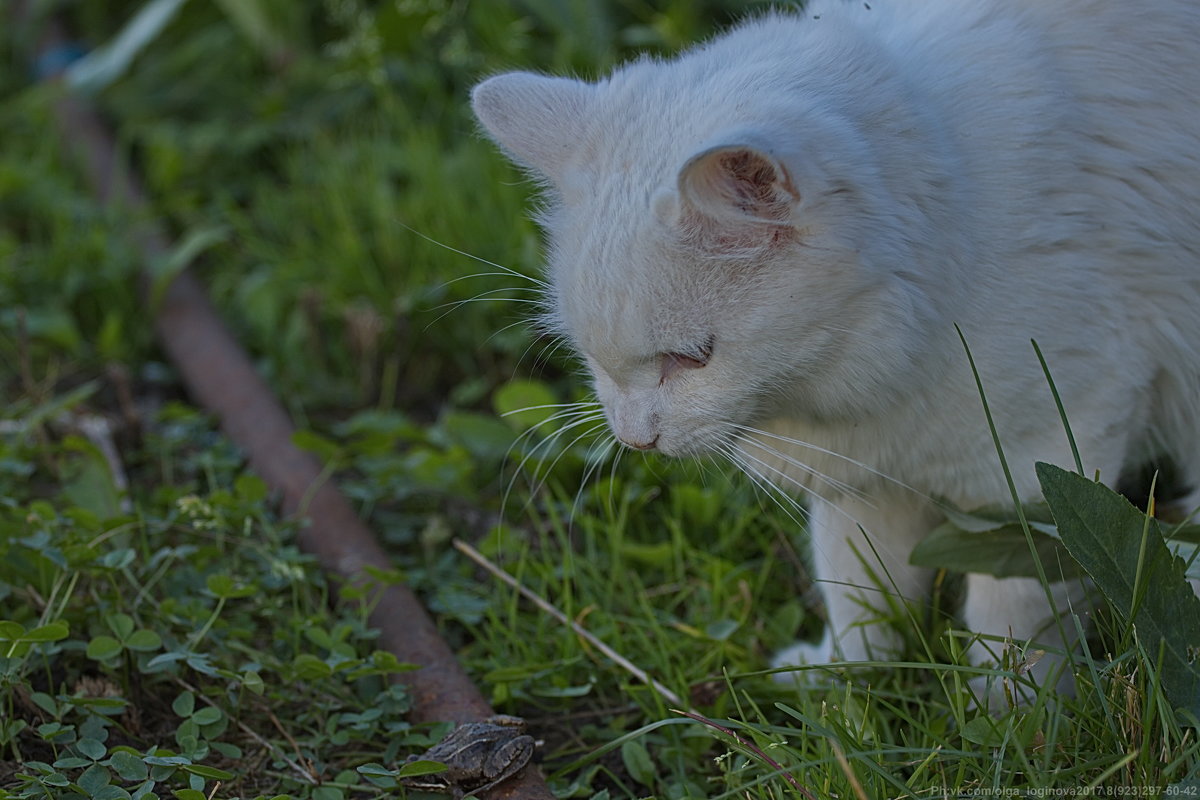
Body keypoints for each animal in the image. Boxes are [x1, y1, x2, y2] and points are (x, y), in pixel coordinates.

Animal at [468, 0, 1200, 695]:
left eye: (693, 358)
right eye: (594, 360)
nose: (634, 439)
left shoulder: (1039, 467)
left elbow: (1016, 623)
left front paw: (1010, 715)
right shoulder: (863, 483)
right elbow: (861, 597)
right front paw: (842, 686)